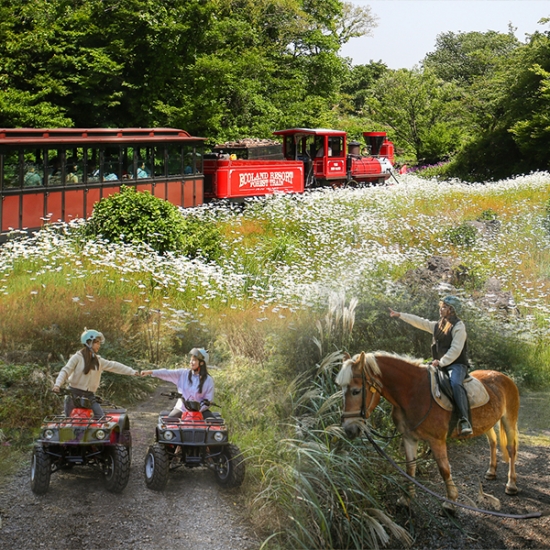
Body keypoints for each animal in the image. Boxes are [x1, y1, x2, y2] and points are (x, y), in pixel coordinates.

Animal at [336, 354, 520, 508]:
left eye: (356, 391)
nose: (349, 429)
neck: (414, 393)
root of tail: (504, 377)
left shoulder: (436, 440)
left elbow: (444, 470)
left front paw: (451, 502)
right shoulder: (409, 438)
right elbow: (410, 468)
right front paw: (406, 498)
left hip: (509, 419)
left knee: (511, 449)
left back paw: (511, 485)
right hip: (487, 424)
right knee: (493, 442)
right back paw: (491, 471)